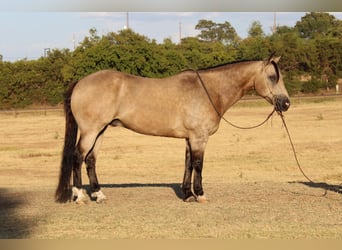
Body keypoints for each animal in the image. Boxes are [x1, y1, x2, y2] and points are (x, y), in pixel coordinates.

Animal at [54, 54, 290, 203]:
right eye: (272, 77)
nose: (286, 103)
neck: (208, 90)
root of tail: (81, 82)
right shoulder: (199, 138)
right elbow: (198, 165)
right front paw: (200, 195)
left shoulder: (189, 138)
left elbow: (188, 164)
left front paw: (187, 194)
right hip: (90, 131)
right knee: (77, 157)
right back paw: (80, 196)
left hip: (100, 131)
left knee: (90, 160)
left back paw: (99, 195)